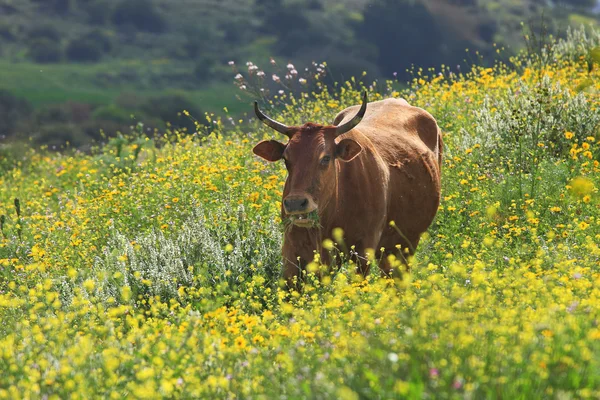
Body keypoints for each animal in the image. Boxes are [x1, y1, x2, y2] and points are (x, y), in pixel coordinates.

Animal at [251, 93, 442, 288]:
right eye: (286, 158)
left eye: (325, 158)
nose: (296, 203)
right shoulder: (292, 250)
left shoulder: (363, 250)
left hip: (407, 243)